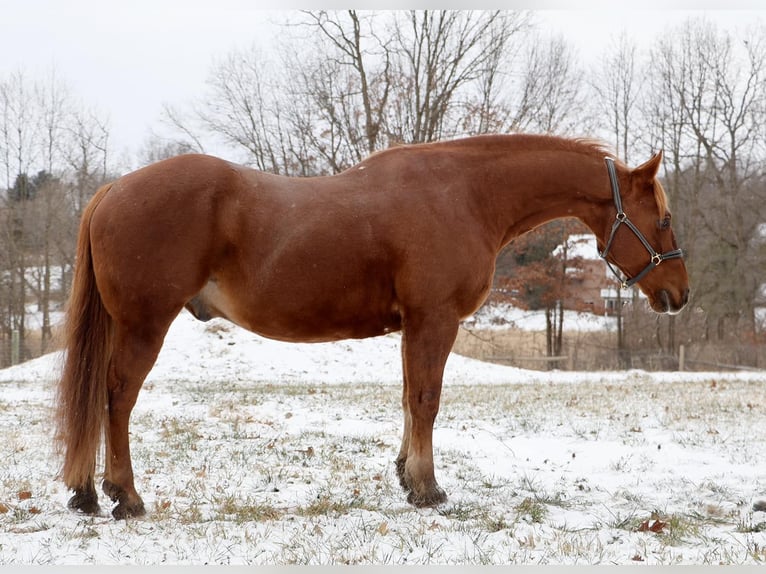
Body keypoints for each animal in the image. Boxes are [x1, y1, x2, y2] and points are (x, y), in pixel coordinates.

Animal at [54, 133, 688, 520]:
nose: (679, 295)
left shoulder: (413, 326)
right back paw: (125, 495)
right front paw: (428, 488)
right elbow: (427, 399)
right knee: (117, 397)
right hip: (144, 325)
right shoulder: (434, 320)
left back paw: (85, 492)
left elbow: (409, 398)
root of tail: (114, 189)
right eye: (662, 217)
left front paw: (408, 479)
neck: (466, 194)